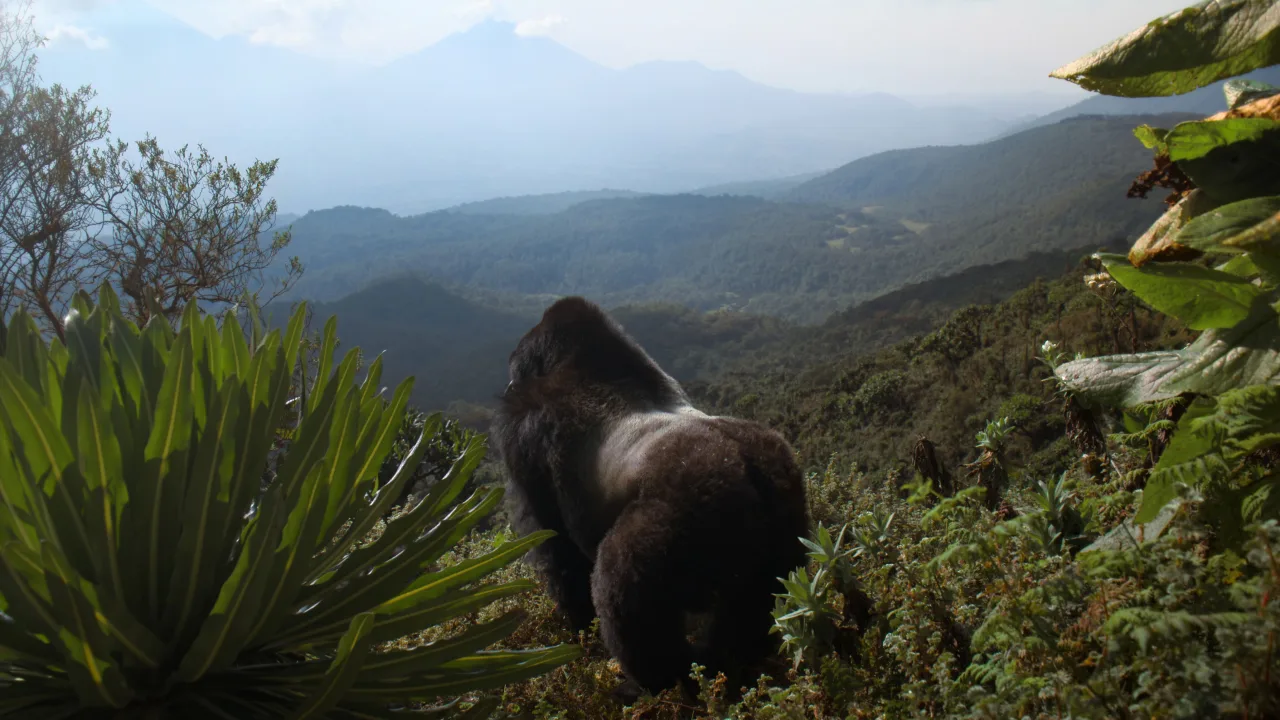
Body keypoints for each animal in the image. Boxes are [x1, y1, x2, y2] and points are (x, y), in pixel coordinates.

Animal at [492, 296, 809, 698]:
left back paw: (652, 683)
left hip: (686, 508)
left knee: (619, 579)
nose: (507, 385)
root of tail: (749, 463)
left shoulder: (523, 431)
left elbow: (558, 550)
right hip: (787, 507)